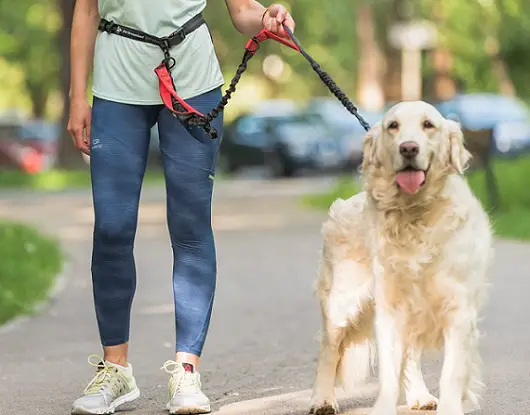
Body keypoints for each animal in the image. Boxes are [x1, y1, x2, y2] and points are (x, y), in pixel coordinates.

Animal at [310, 101, 490, 415]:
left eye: (428, 125)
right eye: (392, 126)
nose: (408, 148)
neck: (414, 215)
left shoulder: (457, 309)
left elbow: (451, 373)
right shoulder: (391, 310)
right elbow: (388, 372)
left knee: (411, 359)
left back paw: (419, 394)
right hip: (341, 301)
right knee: (329, 351)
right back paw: (323, 400)